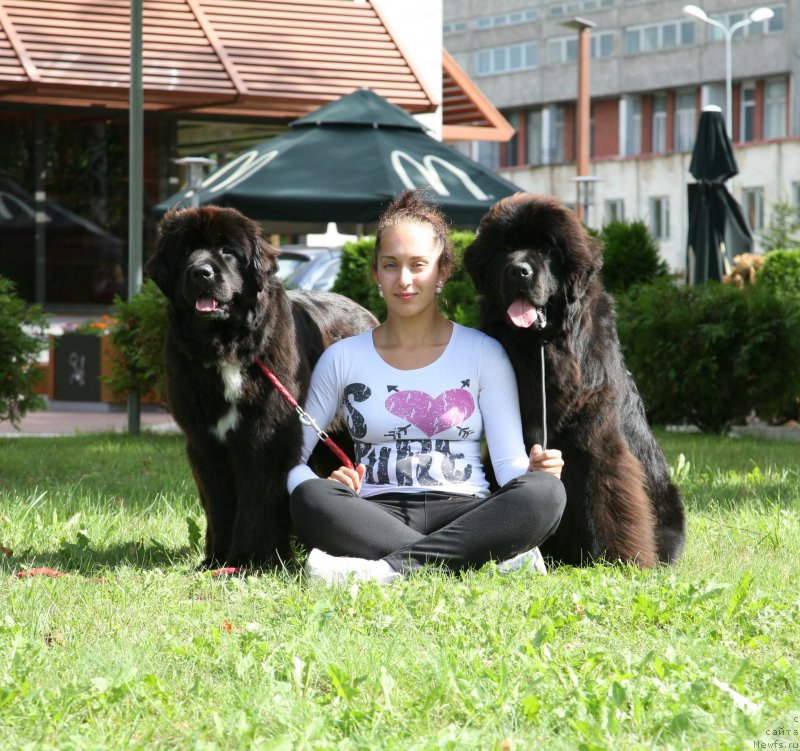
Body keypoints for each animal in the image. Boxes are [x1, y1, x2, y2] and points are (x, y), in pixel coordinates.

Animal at [147, 207, 378, 568]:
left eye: (227, 250)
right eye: (185, 252)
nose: (201, 273)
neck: (227, 347)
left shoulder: (266, 439)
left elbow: (255, 501)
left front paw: (247, 558)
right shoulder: (205, 443)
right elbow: (219, 504)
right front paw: (216, 561)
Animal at [466, 194, 684, 568]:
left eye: (547, 249)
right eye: (505, 248)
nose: (518, 269)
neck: (542, 347)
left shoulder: (599, 442)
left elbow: (611, 499)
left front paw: (620, 561)